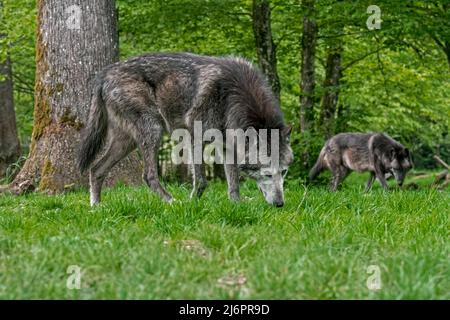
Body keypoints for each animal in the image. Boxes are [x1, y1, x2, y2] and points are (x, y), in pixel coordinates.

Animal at [79, 52, 294, 208]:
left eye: (283, 172)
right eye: (267, 174)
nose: (280, 204)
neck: (233, 96)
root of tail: (104, 74)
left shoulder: (228, 147)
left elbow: (234, 183)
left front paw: (236, 205)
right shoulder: (194, 137)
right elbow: (201, 180)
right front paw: (193, 203)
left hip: (127, 142)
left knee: (96, 169)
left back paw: (96, 207)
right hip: (153, 131)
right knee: (148, 176)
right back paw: (172, 202)